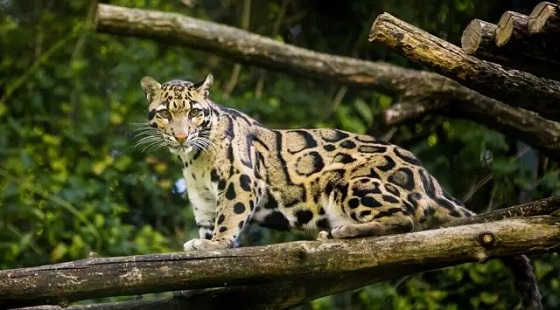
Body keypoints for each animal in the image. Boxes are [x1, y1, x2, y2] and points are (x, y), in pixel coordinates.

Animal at [139, 74, 544, 308]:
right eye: (166, 113)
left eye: (194, 112)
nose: (180, 135)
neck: (192, 158)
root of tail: (429, 180)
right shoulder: (203, 202)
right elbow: (207, 235)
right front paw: (197, 273)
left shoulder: (242, 181)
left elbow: (227, 224)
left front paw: (216, 246)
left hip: (352, 183)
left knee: (406, 220)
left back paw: (344, 230)